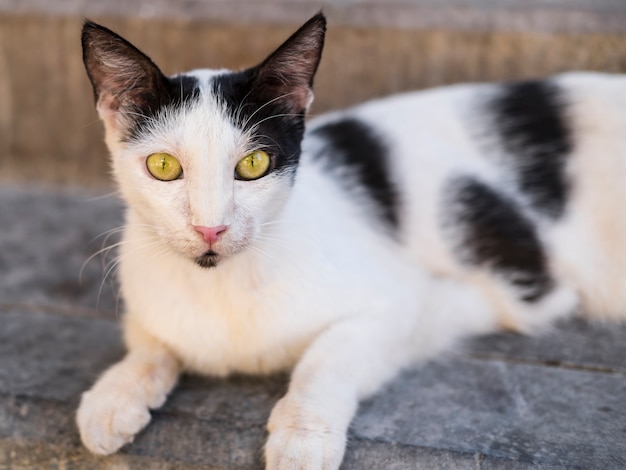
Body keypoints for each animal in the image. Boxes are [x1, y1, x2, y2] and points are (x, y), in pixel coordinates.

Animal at [75, 12, 624, 468]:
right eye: (163, 166)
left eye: (254, 164)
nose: (211, 228)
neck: (220, 289)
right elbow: (151, 344)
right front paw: (115, 393)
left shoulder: (413, 303)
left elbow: (325, 358)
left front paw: (302, 436)